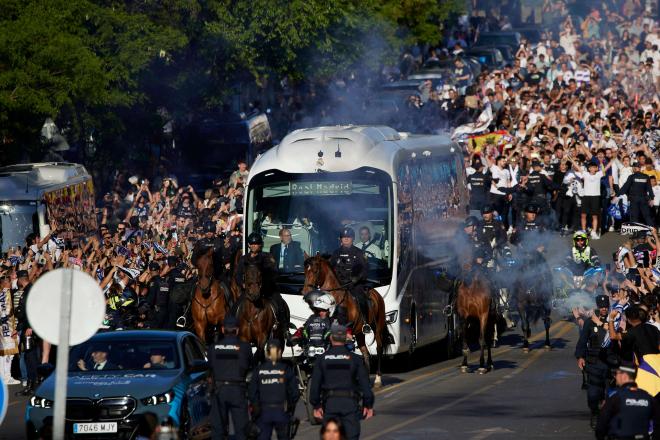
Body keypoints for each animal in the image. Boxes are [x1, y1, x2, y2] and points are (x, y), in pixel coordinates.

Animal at [302, 254, 390, 384]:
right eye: (304, 271)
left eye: (315, 271)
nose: (305, 293)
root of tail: (376, 294)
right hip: (359, 333)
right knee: (365, 353)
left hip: (377, 327)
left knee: (379, 348)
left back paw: (378, 379)